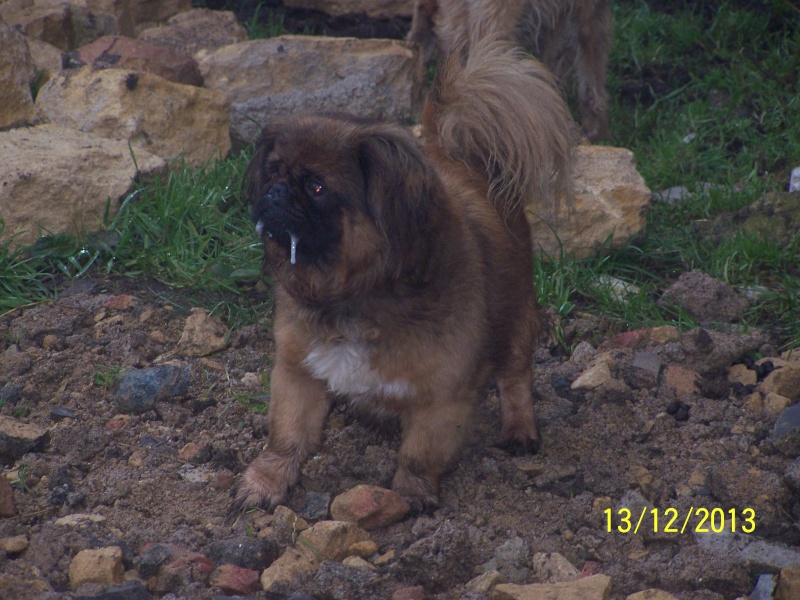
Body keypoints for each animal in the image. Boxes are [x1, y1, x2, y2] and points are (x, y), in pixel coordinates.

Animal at [233, 41, 576, 516]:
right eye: (273, 171)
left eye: (317, 187)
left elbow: (419, 454)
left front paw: (411, 495)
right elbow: (286, 439)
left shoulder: (442, 396)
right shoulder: (298, 371)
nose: (276, 191)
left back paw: (520, 429)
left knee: (515, 378)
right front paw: (265, 483)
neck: (353, 292)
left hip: (517, 320)